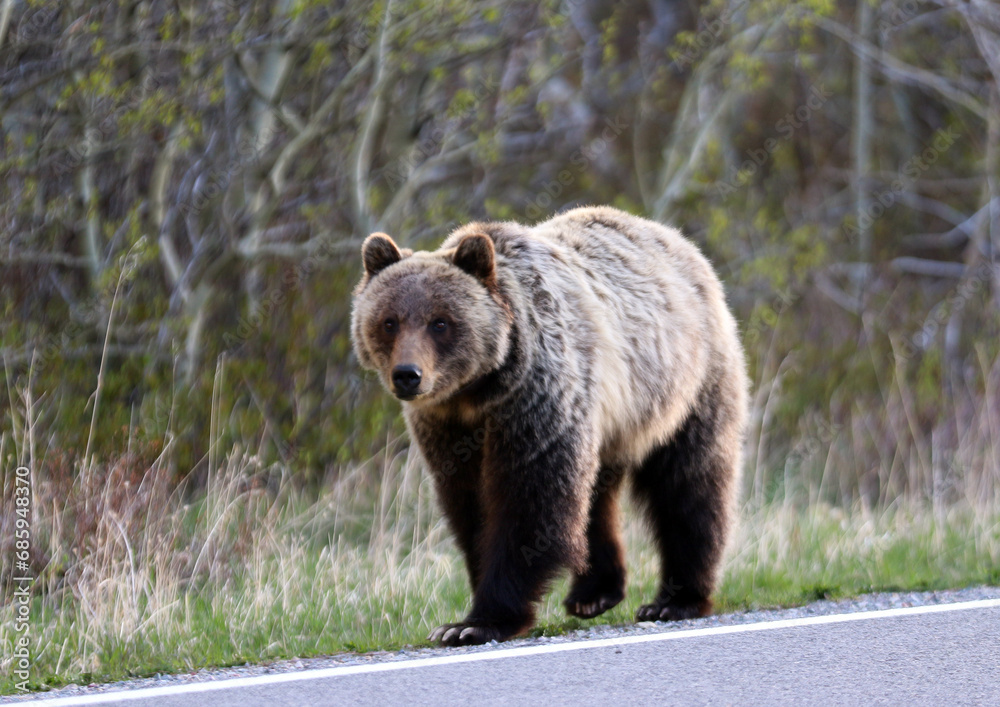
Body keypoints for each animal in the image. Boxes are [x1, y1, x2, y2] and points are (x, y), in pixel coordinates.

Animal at [350, 205, 748, 646]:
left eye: (440, 322)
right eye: (389, 321)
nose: (408, 375)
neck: (479, 393)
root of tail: (679, 242)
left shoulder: (537, 398)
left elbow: (531, 500)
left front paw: (478, 622)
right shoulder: (446, 427)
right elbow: (471, 506)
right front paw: (467, 614)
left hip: (686, 383)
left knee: (689, 483)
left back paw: (674, 599)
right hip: (610, 421)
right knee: (594, 495)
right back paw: (593, 593)